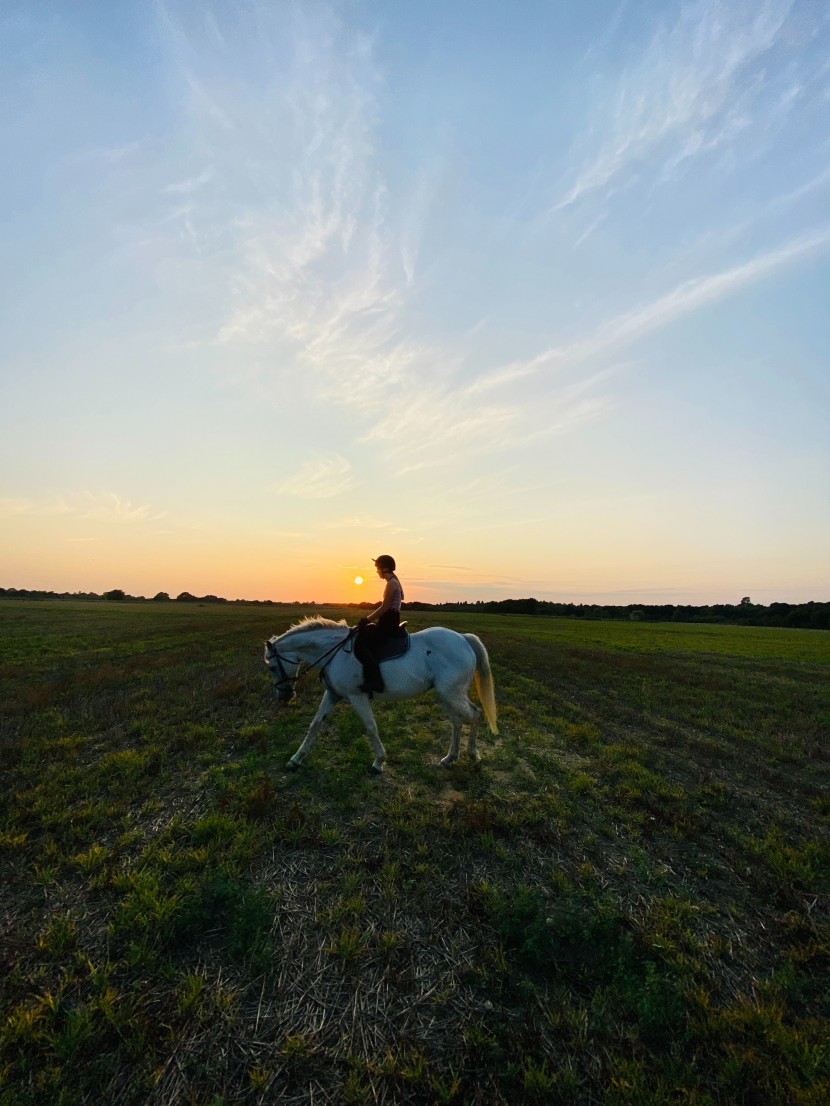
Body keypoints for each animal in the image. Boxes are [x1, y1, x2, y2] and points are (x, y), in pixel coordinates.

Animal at [266, 619, 500, 774]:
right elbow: (315, 724)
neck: (334, 652)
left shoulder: (356, 696)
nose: (284, 696)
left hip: (452, 693)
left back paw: (473, 755)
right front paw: (296, 759)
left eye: (271, 667)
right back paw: (450, 758)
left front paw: (379, 762)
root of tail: (463, 639)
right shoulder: (332, 694)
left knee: (476, 715)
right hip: (446, 695)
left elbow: (370, 726)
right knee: (457, 722)